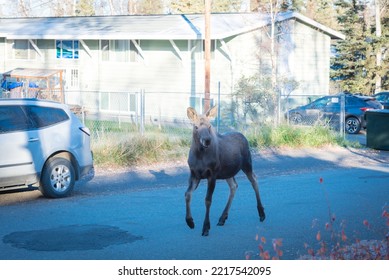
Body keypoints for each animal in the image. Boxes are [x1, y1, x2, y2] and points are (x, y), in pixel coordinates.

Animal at [184, 106, 264, 235]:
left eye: (209, 126)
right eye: (196, 126)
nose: (207, 140)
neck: (200, 156)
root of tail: (244, 137)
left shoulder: (212, 174)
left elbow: (208, 200)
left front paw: (206, 227)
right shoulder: (194, 174)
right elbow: (187, 194)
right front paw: (190, 221)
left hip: (247, 163)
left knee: (254, 180)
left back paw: (261, 213)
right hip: (228, 172)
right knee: (234, 186)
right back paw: (222, 218)